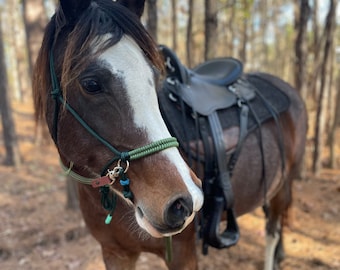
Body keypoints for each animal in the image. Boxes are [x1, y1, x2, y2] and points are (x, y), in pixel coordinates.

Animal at [32, 0, 308, 270]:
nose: (186, 201)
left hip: (282, 187)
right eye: (91, 84)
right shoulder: (115, 253)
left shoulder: (182, 254)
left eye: (154, 78)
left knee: (273, 231)